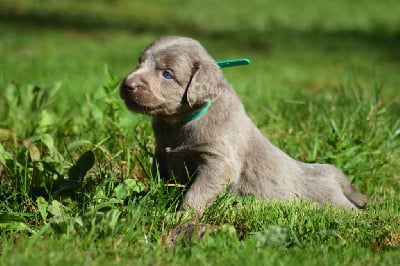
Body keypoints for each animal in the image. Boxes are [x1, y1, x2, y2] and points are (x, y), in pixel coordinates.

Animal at [119, 36, 368, 213]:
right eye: (140, 62)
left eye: (167, 74)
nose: (128, 84)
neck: (178, 124)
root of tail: (334, 174)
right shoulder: (162, 153)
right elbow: (159, 180)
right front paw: (144, 198)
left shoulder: (219, 161)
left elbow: (197, 192)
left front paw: (181, 217)